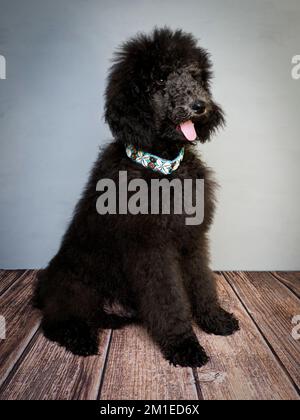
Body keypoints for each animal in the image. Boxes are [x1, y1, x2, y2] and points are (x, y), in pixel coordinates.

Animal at [33, 27, 239, 368]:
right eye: (160, 79)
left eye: (194, 75)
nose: (200, 105)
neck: (162, 169)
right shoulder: (150, 249)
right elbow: (169, 299)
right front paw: (184, 344)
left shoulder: (192, 239)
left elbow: (201, 282)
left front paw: (214, 319)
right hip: (74, 284)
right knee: (56, 320)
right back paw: (81, 339)